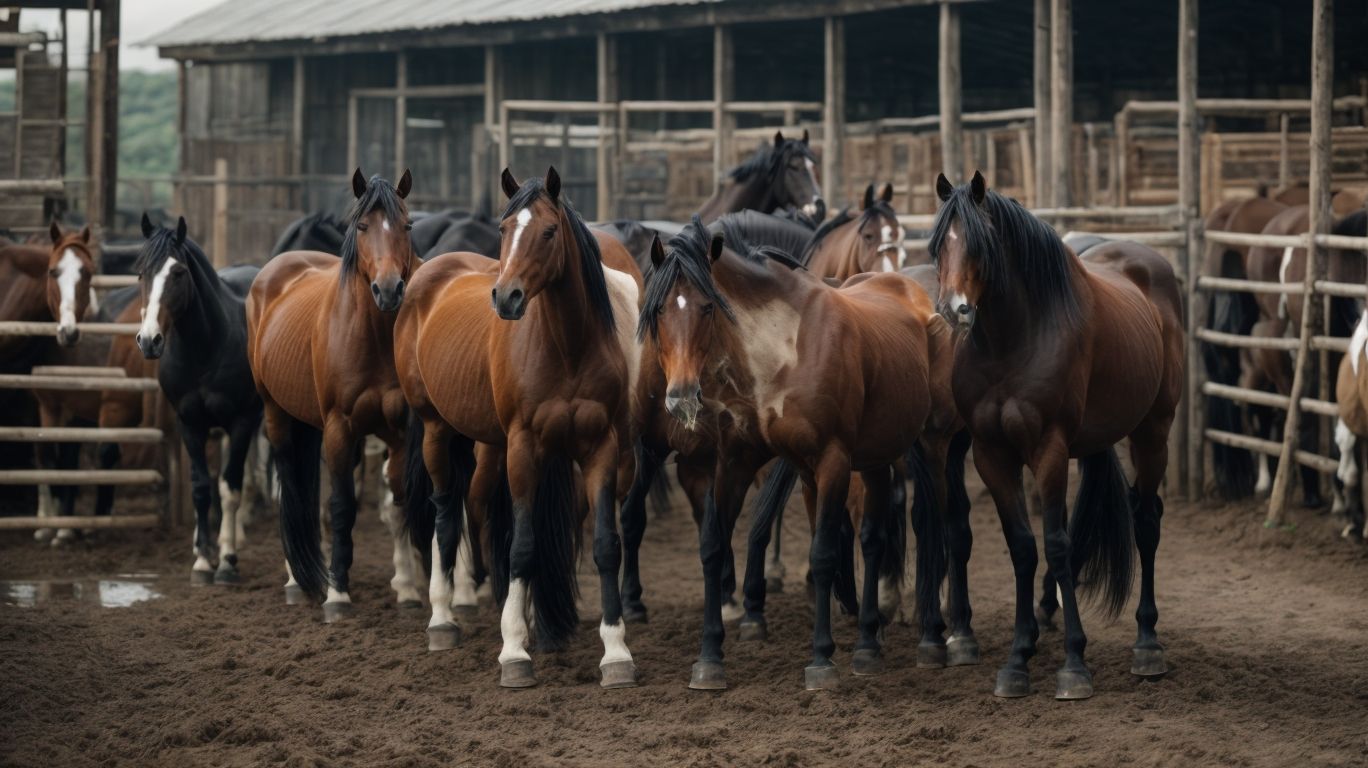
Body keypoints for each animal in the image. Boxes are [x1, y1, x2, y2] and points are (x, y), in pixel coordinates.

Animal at [134, 215, 264, 585]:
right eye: (141, 273)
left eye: (178, 273)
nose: (149, 341)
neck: (205, 348)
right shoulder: (189, 423)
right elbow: (202, 488)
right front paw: (203, 560)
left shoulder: (241, 421)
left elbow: (229, 488)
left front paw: (228, 561)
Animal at [250, 169, 424, 621]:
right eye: (361, 226)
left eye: (407, 226)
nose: (389, 290)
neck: (373, 337)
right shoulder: (340, 429)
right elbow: (343, 507)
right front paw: (338, 594)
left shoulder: (399, 432)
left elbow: (399, 503)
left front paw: (409, 591)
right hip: (275, 414)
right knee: (291, 487)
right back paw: (298, 580)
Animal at [396, 167, 643, 688]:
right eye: (505, 228)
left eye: (548, 232)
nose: (506, 297)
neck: (566, 348)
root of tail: (429, 271)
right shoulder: (525, 448)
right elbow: (524, 548)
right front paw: (513, 653)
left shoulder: (599, 449)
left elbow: (604, 546)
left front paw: (615, 653)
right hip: (436, 430)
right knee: (446, 515)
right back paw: (443, 619)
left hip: (490, 445)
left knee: (478, 507)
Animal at [640, 214, 946, 690]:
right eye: (658, 310)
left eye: (707, 307)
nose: (682, 397)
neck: (783, 348)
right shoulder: (742, 461)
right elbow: (714, 545)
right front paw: (709, 656)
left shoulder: (832, 461)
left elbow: (822, 555)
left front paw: (821, 661)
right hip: (874, 460)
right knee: (873, 539)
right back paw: (868, 643)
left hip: (927, 447)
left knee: (931, 524)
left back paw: (932, 639)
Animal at [931, 171, 1184, 700]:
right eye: (938, 245)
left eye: (980, 245)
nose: (954, 309)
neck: (1011, 343)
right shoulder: (992, 454)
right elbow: (1024, 546)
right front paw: (1017, 658)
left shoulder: (1048, 449)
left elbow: (1058, 544)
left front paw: (1073, 663)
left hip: (1153, 432)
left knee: (1146, 523)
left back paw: (1147, 643)